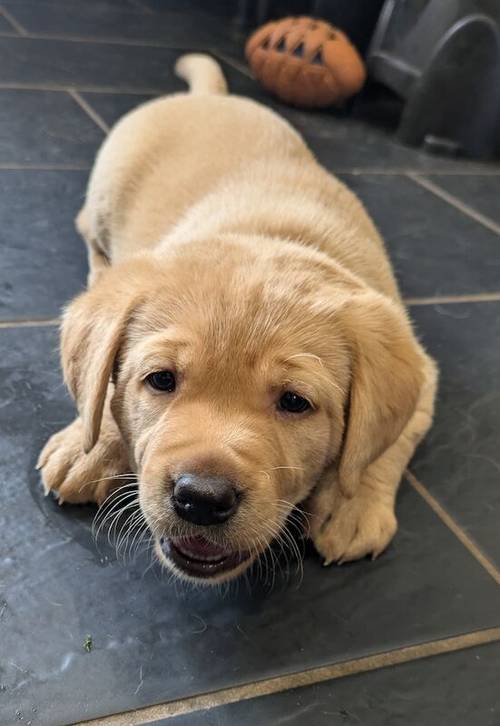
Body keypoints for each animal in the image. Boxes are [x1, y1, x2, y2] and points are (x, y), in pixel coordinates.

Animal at [38, 52, 438, 584]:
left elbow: (388, 442)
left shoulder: (422, 370)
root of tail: (210, 96)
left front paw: (350, 502)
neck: (271, 235)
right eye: (160, 380)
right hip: (107, 185)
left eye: (295, 402)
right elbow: (99, 387)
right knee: (90, 232)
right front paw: (91, 445)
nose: (202, 499)